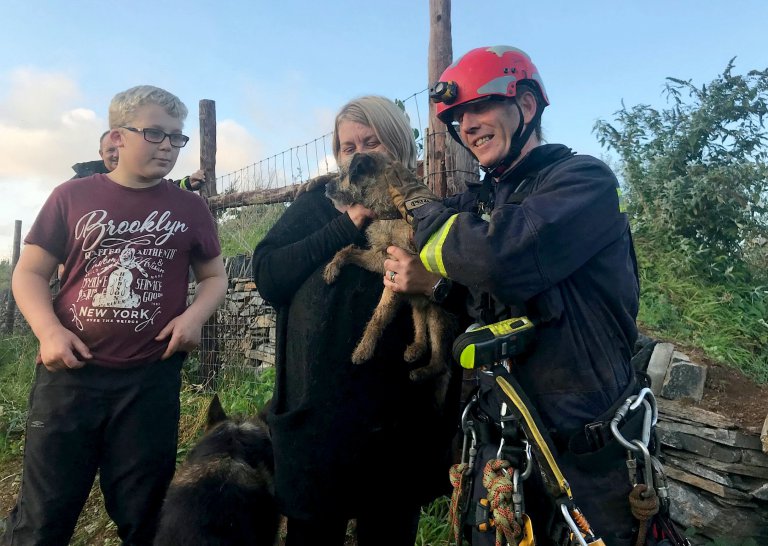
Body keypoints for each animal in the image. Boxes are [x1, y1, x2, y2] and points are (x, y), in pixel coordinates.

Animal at [320, 151, 452, 386]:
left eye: (343, 174)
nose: (325, 185)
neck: (391, 213)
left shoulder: (395, 275)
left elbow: (379, 315)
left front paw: (364, 348)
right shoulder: (380, 260)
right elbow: (349, 250)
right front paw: (332, 266)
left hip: (437, 314)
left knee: (439, 359)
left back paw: (424, 371)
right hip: (417, 302)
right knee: (421, 326)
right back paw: (416, 348)